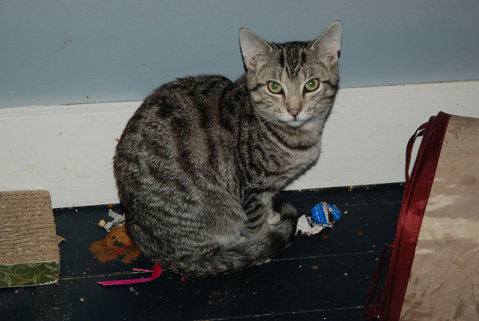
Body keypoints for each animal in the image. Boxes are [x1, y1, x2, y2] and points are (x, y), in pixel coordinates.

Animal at [114, 21, 344, 278]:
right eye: (274, 87)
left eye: (312, 84)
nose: (294, 110)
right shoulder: (250, 187)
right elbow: (255, 219)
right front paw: (262, 239)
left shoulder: (265, 188)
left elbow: (266, 204)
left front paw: (271, 217)